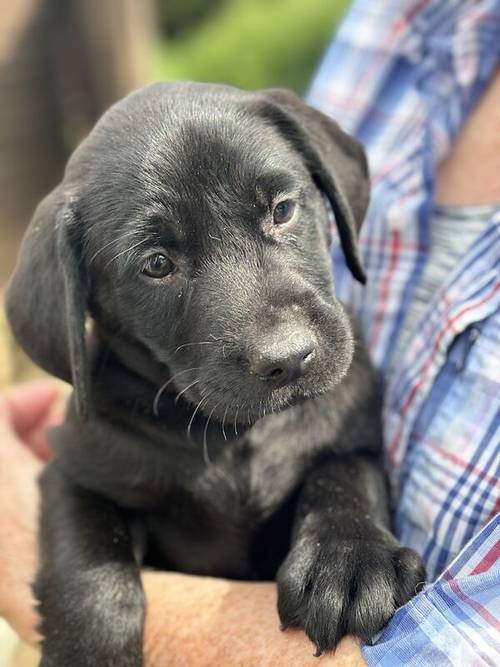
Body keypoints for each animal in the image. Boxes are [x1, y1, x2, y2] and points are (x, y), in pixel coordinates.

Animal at [5, 82, 424, 664]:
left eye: (283, 210)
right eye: (157, 264)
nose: (290, 358)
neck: (238, 436)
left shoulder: (357, 434)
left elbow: (343, 473)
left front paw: (349, 559)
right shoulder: (74, 473)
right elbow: (90, 564)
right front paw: (89, 651)